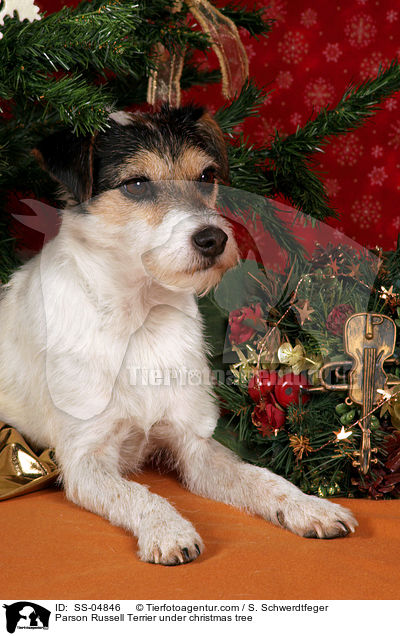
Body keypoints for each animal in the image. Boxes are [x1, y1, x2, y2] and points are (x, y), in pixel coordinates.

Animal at [0, 105, 356, 568]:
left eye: (206, 176)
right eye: (136, 184)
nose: (213, 238)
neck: (141, 321)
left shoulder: (195, 444)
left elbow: (262, 478)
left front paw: (310, 506)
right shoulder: (85, 461)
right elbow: (139, 494)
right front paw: (169, 531)